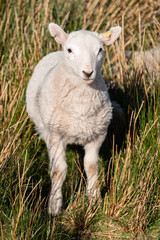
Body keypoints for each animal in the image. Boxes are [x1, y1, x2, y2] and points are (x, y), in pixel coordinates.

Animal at [26, 23, 121, 216]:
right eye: (70, 50)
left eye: (100, 50)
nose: (88, 72)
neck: (81, 106)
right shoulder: (55, 136)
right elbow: (58, 170)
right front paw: (54, 207)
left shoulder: (97, 135)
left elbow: (91, 167)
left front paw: (94, 200)